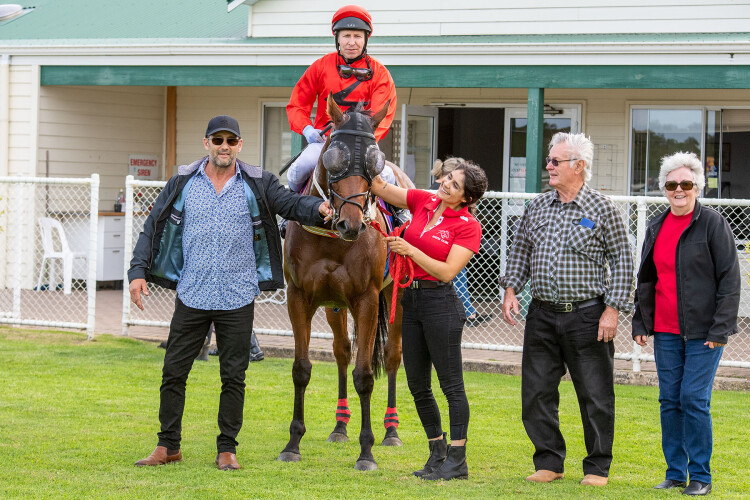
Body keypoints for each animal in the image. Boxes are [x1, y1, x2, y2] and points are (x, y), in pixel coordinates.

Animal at [280, 94, 412, 472]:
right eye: (334, 158)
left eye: (372, 160)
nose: (351, 224)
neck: (332, 239)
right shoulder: (299, 297)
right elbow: (302, 369)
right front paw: (293, 444)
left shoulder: (367, 300)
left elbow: (365, 374)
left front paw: (366, 452)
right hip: (334, 306)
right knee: (341, 352)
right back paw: (340, 426)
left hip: (396, 298)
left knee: (393, 355)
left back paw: (391, 431)